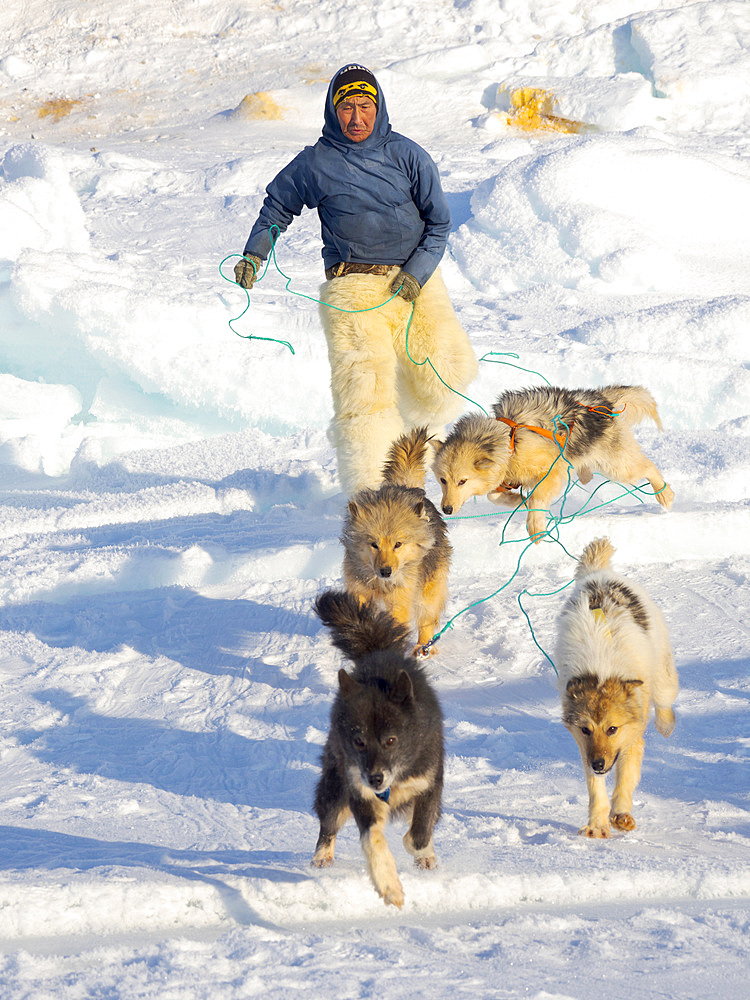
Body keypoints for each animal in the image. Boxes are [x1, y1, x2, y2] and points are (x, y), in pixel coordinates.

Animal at [342, 424, 452, 652]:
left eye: (398, 544)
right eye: (374, 544)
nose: (386, 571)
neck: (380, 584)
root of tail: (406, 486)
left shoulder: (400, 600)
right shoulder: (359, 592)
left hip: (427, 592)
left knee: (426, 621)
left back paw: (423, 648)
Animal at [434, 384, 676, 544]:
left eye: (462, 481)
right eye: (443, 480)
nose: (446, 509)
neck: (510, 444)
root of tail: (600, 401)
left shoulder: (552, 471)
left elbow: (537, 498)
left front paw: (535, 525)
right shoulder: (504, 479)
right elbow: (495, 496)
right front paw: (517, 500)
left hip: (618, 467)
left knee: (648, 467)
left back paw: (664, 493)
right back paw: (586, 473)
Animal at [556, 540, 680, 836]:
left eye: (612, 729)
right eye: (586, 729)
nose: (599, 764)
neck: (602, 671)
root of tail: (597, 573)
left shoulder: (632, 735)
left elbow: (625, 777)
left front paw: (621, 814)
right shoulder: (585, 748)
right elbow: (595, 789)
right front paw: (597, 825)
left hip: (661, 676)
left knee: (665, 701)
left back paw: (666, 725)